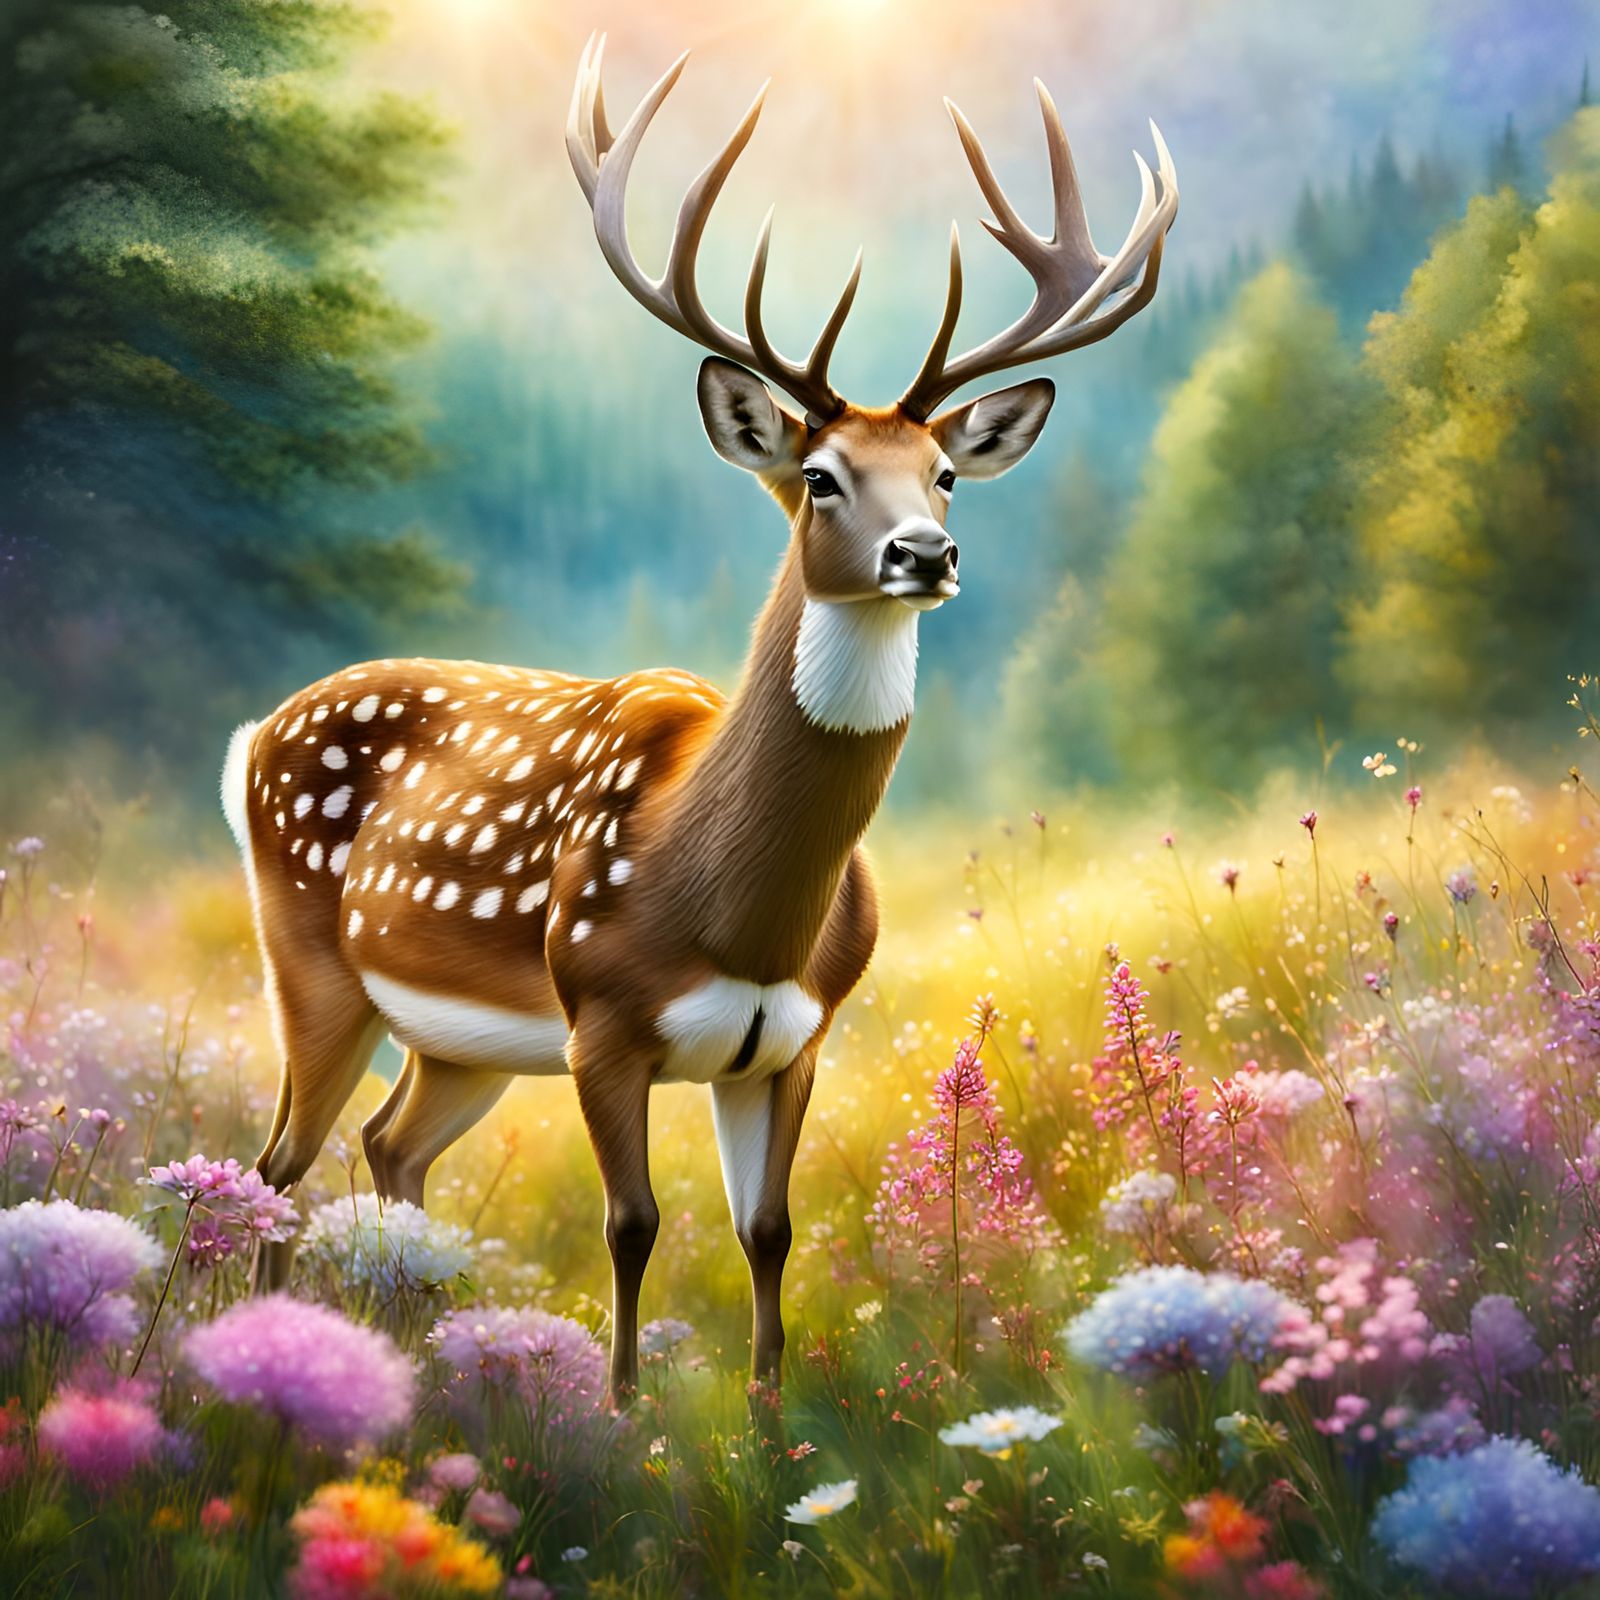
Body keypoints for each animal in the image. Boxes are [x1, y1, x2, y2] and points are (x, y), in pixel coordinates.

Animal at [220, 34, 1177, 1404]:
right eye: (821, 476)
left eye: (944, 473)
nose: (926, 553)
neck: (735, 909)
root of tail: (255, 733)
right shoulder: (601, 1022)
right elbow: (633, 1227)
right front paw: (623, 1415)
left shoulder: (794, 1039)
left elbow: (766, 1231)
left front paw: (770, 1420)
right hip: (311, 959)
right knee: (276, 1168)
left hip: (457, 1042)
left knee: (389, 1147)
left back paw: (419, 1365)